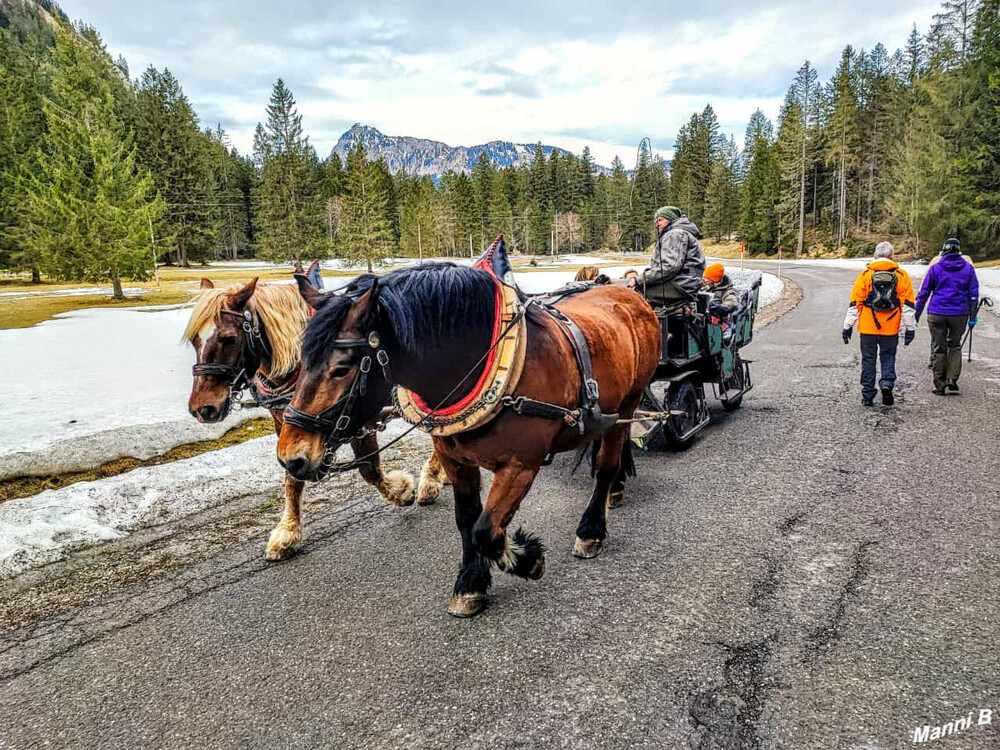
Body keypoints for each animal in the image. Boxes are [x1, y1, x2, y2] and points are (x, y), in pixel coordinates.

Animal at [185, 274, 450, 560]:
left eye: (229, 338)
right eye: (194, 340)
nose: (201, 408)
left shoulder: (357, 419)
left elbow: (369, 469)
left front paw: (401, 491)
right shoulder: (288, 427)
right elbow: (291, 475)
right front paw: (288, 531)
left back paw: (431, 480)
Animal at [278, 241, 660, 616]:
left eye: (342, 368)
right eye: (302, 360)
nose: (291, 457)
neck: (478, 363)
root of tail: (628, 294)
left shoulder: (521, 465)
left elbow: (486, 530)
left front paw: (526, 559)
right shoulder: (456, 460)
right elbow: (467, 521)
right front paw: (471, 582)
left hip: (629, 402)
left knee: (607, 465)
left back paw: (592, 527)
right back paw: (615, 492)